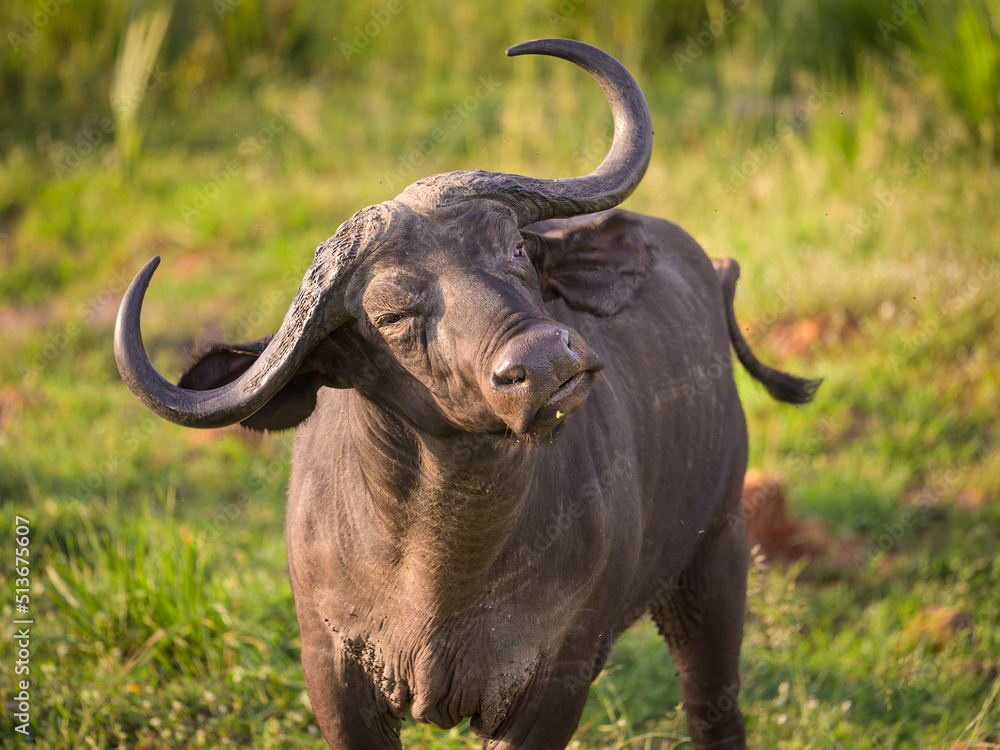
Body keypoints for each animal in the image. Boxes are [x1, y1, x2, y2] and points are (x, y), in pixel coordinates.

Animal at [115, 39, 818, 750]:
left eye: (515, 250)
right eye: (393, 314)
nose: (544, 361)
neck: (440, 569)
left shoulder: (560, 673)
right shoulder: (331, 671)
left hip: (717, 552)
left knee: (712, 707)